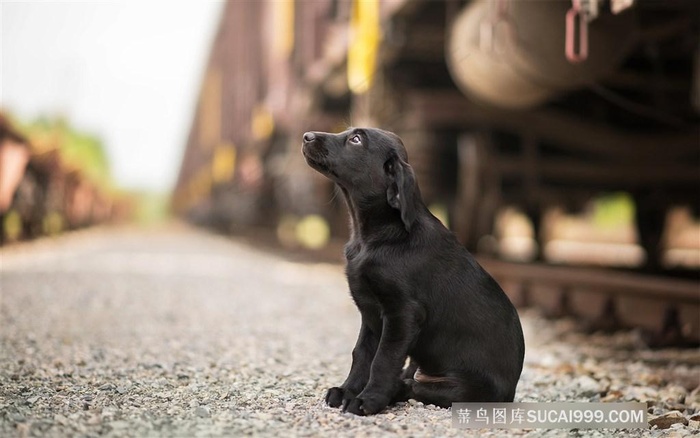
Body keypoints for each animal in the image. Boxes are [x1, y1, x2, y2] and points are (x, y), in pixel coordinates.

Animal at [300, 128, 524, 416]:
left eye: (356, 140)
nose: (306, 136)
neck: (375, 236)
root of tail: (511, 392)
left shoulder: (402, 313)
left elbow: (383, 359)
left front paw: (367, 399)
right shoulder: (370, 313)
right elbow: (361, 354)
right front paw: (348, 390)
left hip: (465, 390)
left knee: (414, 387)